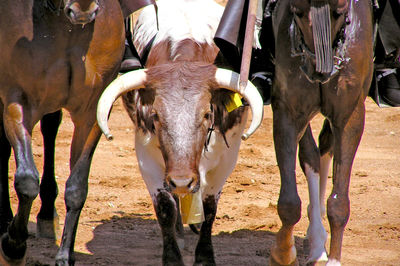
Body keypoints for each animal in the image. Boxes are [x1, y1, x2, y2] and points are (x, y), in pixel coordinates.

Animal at [0, 0, 152, 264]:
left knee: (50, 128)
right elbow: (26, 180)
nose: (84, 9)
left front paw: (65, 255)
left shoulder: (92, 111)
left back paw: (46, 214)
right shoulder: (16, 101)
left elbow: (77, 186)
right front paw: (13, 246)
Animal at [96, 0, 264, 264]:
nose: (182, 181)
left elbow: (209, 207)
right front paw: (173, 256)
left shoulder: (227, 157)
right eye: (155, 115)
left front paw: (204, 256)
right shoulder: (146, 155)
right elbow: (165, 207)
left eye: (207, 114)